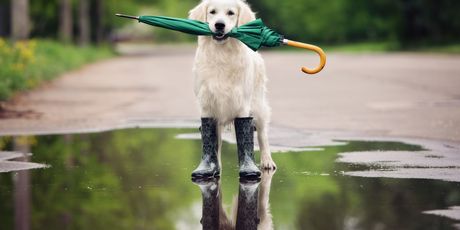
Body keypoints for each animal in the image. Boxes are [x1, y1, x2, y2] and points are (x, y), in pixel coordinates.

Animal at [189, 0, 274, 177]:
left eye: (231, 13)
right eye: (212, 12)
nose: (219, 25)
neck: (222, 54)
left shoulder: (242, 104)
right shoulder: (207, 104)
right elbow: (212, 141)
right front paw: (211, 168)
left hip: (258, 106)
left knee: (262, 135)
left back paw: (267, 161)